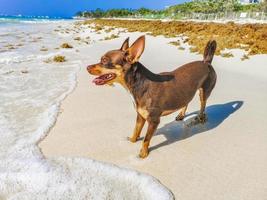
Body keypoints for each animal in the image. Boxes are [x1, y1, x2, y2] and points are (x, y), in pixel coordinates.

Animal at [88, 35, 218, 158]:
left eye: (104, 60)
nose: (87, 67)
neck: (139, 85)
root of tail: (206, 62)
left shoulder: (153, 121)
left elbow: (146, 139)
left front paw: (143, 154)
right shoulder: (140, 116)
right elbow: (136, 130)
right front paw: (132, 141)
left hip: (204, 92)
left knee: (203, 105)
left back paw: (200, 118)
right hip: (187, 92)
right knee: (186, 101)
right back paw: (181, 115)